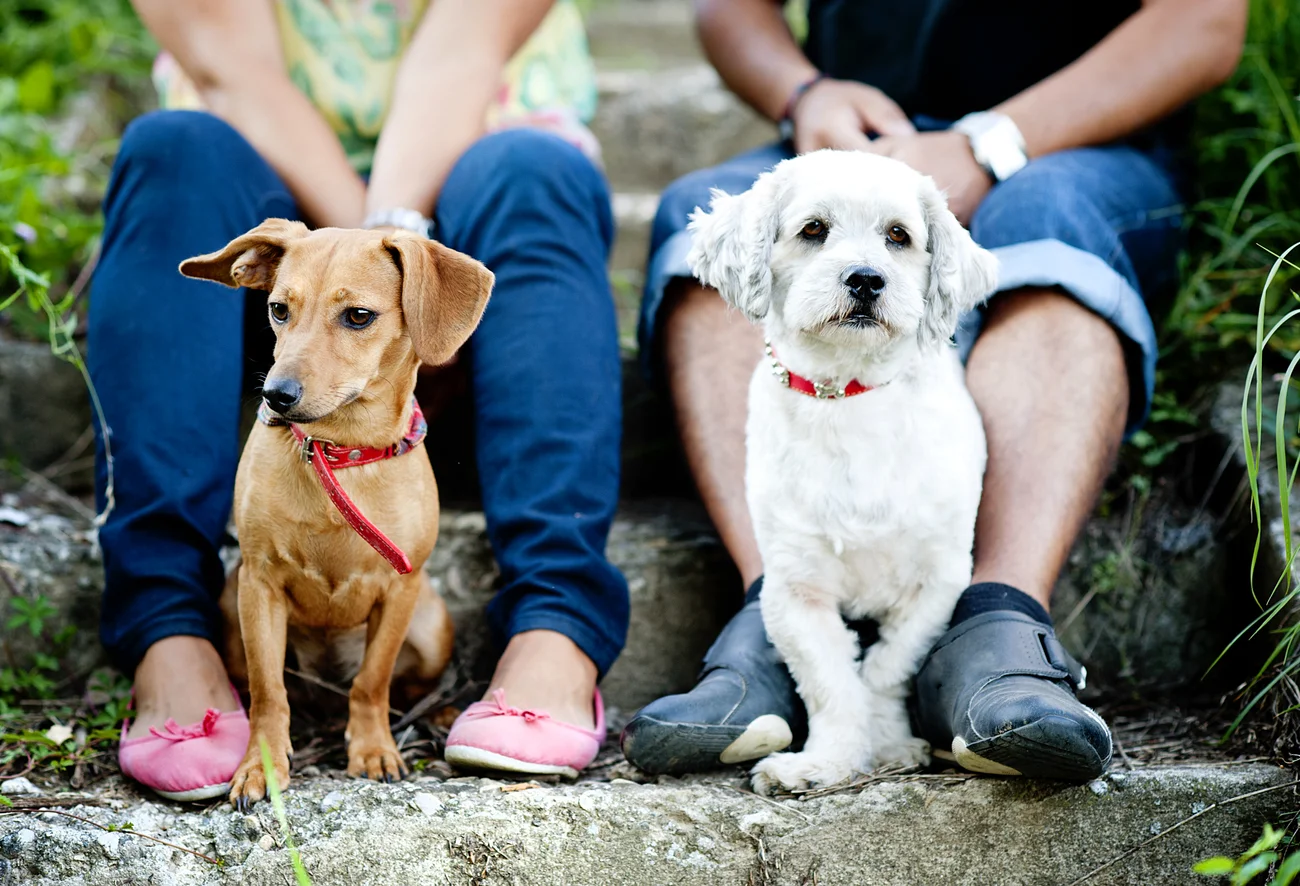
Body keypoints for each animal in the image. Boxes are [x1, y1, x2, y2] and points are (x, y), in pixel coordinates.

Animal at [178, 220, 491, 805]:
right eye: (278, 309)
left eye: (359, 316)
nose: (276, 395)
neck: (337, 449)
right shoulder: (259, 585)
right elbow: (268, 691)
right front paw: (260, 765)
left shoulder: (399, 590)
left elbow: (372, 681)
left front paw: (372, 749)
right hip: (230, 612)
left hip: (432, 627)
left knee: (401, 684)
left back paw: (440, 711)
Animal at [691, 148, 993, 789]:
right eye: (813, 230)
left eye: (899, 236)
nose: (866, 278)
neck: (848, 397)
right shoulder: (795, 590)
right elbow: (830, 681)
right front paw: (825, 762)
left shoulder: (937, 580)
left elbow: (884, 669)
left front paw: (889, 744)